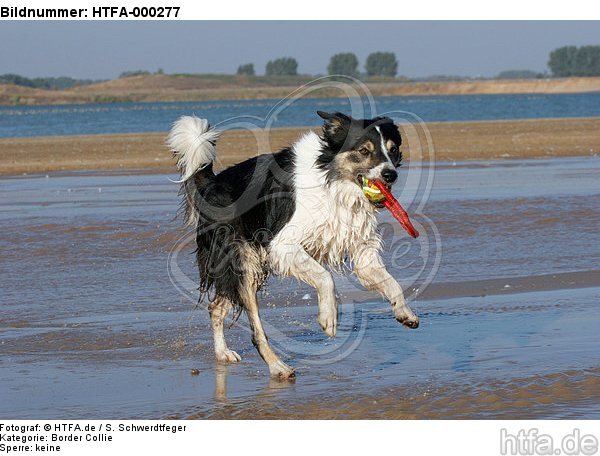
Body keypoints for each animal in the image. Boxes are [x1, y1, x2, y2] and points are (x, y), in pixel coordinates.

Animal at [166, 112, 420, 380]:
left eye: (393, 150)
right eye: (364, 150)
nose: (390, 175)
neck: (331, 181)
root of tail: (212, 184)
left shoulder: (362, 250)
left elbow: (392, 284)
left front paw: (405, 313)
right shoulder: (283, 243)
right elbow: (325, 277)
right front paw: (328, 317)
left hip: (249, 266)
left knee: (215, 306)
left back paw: (223, 353)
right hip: (242, 262)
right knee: (255, 330)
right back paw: (278, 367)